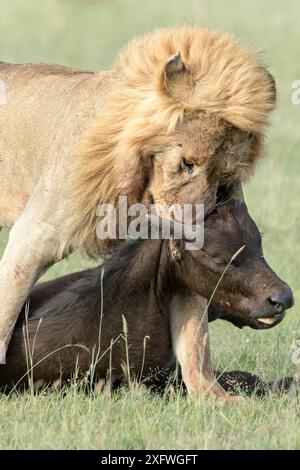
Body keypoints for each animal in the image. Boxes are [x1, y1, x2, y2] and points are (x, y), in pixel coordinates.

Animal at [0, 26, 276, 400]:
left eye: (225, 177)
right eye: (186, 163)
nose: (194, 226)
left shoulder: (187, 266)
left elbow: (195, 341)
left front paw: (215, 398)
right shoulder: (34, 237)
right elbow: (5, 313)